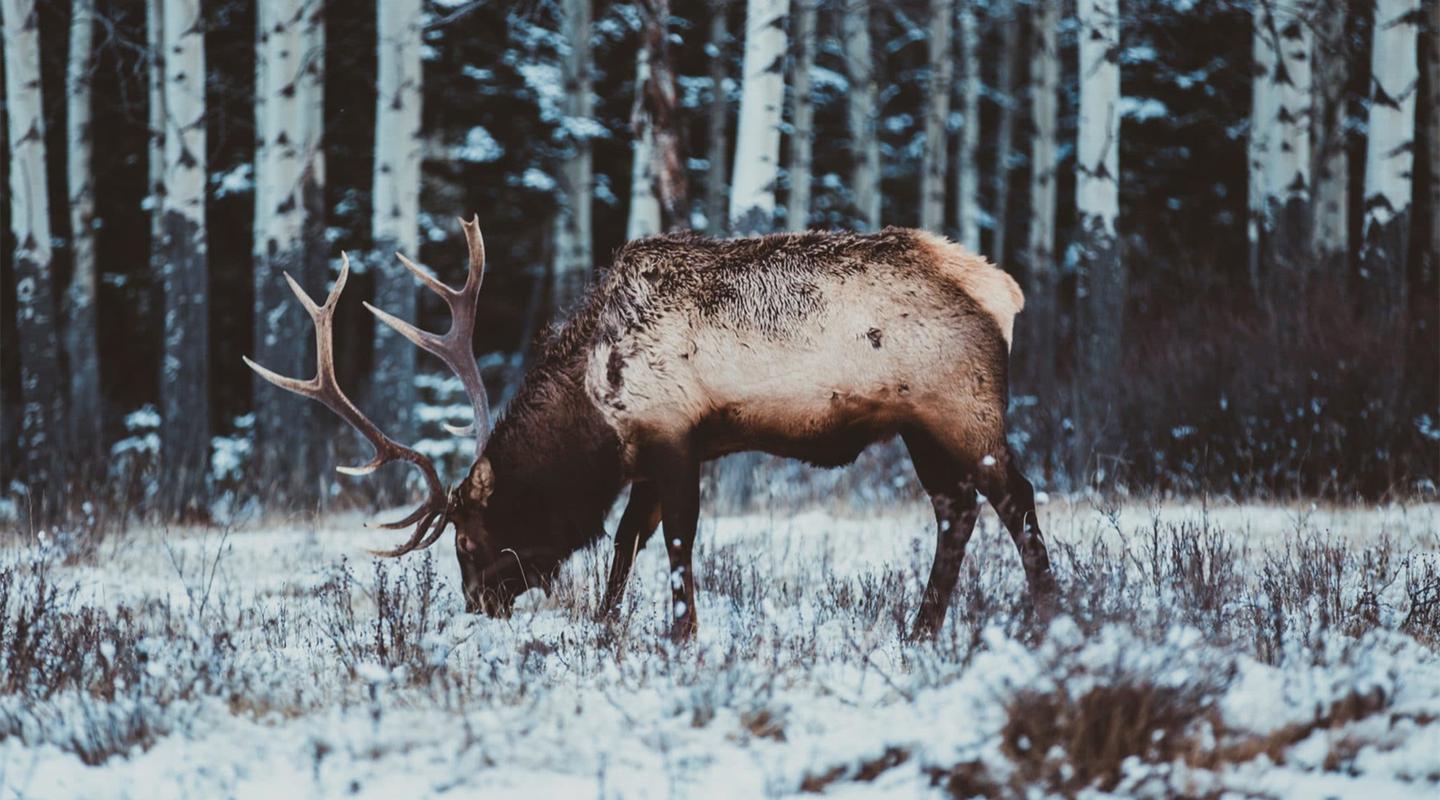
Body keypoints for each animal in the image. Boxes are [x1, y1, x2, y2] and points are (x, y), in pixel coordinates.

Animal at [247, 218, 1059, 644]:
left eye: (469, 540)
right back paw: (921, 628)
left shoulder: (675, 437)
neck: (592, 404)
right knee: (956, 510)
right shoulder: (646, 454)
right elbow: (627, 539)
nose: (477, 606)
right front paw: (607, 627)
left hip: (963, 408)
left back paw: (1046, 612)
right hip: (920, 428)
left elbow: (673, 539)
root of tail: (1006, 291)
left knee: (1015, 497)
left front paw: (680, 631)